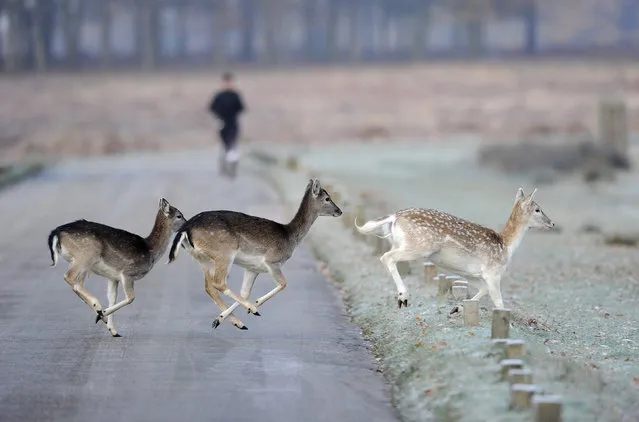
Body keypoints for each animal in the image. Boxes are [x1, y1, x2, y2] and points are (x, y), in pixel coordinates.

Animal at [47, 198, 186, 336]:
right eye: (179, 215)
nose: (186, 224)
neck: (150, 250)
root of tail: (55, 233)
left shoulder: (113, 277)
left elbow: (112, 298)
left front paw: (113, 330)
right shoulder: (127, 273)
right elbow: (130, 298)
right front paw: (103, 316)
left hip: (81, 262)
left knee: (77, 283)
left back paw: (99, 312)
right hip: (86, 255)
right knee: (69, 277)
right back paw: (98, 308)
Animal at [168, 178, 342, 330]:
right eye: (327, 198)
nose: (339, 211)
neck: (289, 237)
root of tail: (186, 229)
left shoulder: (252, 268)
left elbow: (245, 292)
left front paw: (222, 318)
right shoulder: (272, 261)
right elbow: (283, 283)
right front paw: (255, 305)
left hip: (202, 258)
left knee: (209, 286)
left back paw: (233, 322)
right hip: (224, 253)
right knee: (218, 283)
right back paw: (251, 310)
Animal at [356, 188, 556, 310]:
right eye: (537, 209)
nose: (552, 223)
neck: (506, 245)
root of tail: (394, 217)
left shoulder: (471, 274)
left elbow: (482, 291)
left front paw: (458, 308)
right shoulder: (492, 272)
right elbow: (499, 302)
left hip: (400, 243)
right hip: (418, 246)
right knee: (387, 257)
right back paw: (403, 296)